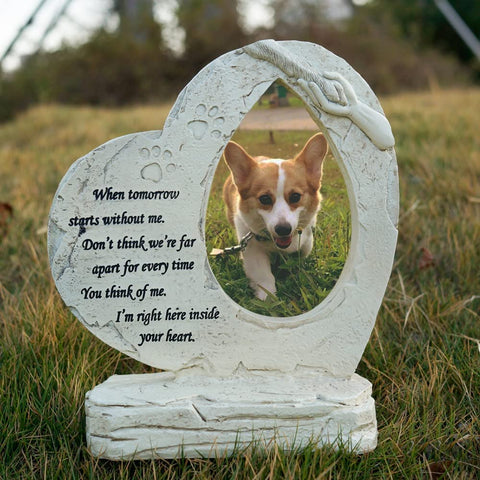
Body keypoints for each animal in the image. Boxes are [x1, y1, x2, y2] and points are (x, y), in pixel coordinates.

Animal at [223, 133, 328, 300]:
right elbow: (263, 276)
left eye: (295, 197)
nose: (283, 229)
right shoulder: (251, 248)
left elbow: (302, 253)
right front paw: (268, 299)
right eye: (264, 199)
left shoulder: (306, 240)